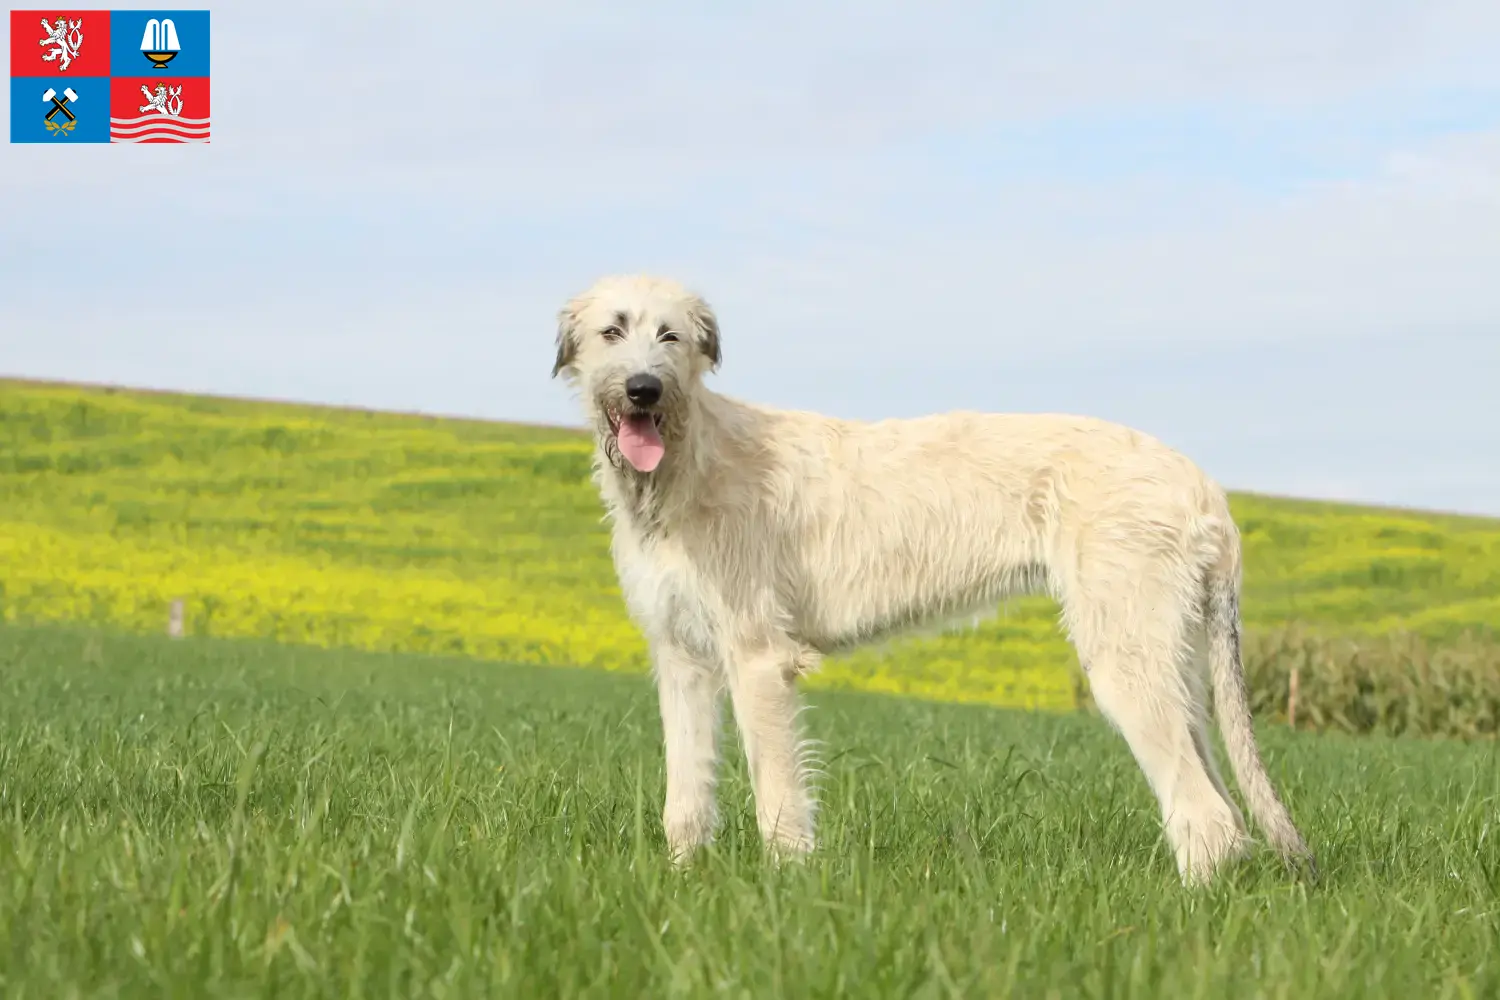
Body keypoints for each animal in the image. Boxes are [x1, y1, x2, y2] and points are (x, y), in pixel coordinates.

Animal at [552, 271, 1314, 881]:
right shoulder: (681, 657)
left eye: (671, 335)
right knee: (1217, 797)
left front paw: (785, 891)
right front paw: (681, 880)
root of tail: (1203, 485)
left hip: (1125, 653)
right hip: (1172, 657)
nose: (644, 389)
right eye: (612, 331)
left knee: (1206, 813)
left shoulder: (757, 657)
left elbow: (778, 794)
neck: (687, 462)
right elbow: (685, 793)